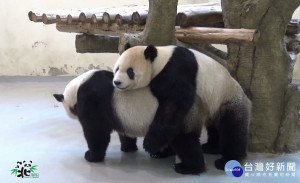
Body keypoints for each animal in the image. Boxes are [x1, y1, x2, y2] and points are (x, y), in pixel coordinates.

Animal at [53, 69, 209, 174]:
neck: (79, 85)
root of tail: (198, 102)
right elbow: (124, 132)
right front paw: (128, 148)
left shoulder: (91, 100)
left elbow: (96, 132)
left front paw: (91, 156)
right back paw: (160, 154)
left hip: (177, 117)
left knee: (185, 141)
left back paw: (189, 167)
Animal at [112, 44, 251, 170]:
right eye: (117, 69)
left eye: (130, 71)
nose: (117, 82)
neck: (160, 61)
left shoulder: (177, 69)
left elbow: (175, 102)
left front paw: (150, 144)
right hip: (211, 105)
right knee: (214, 127)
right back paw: (211, 147)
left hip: (227, 98)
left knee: (233, 129)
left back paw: (227, 160)